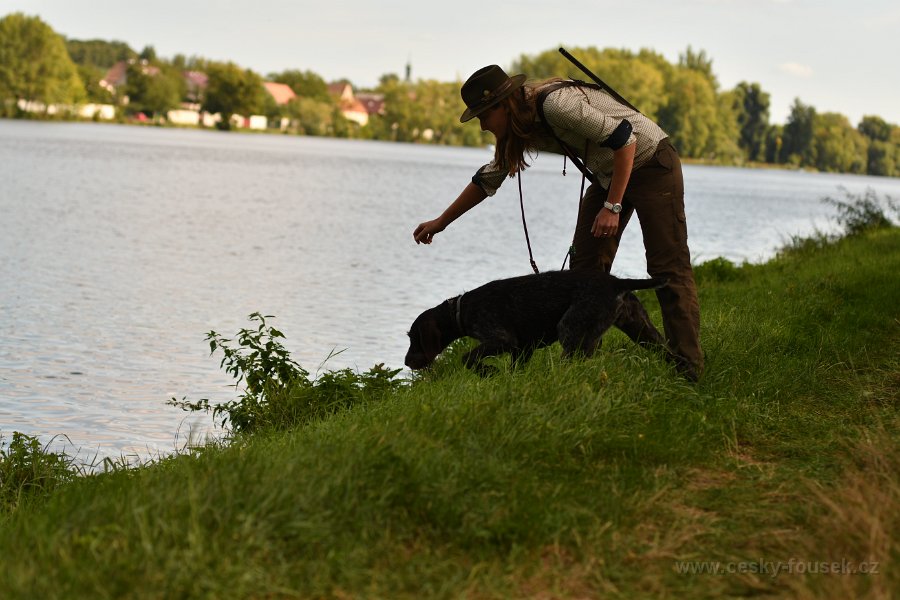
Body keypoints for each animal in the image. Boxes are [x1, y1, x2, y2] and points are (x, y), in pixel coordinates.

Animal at [404, 270, 664, 372]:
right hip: (644, 331)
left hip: (570, 330)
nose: (406, 362)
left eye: (413, 338)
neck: (461, 309)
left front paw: (488, 372)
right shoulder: (523, 349)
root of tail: (617, 282)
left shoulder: (501, 339)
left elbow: (467, 358)